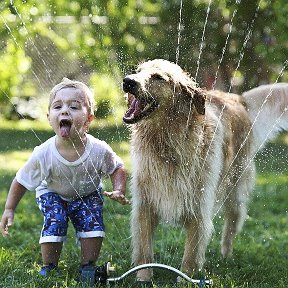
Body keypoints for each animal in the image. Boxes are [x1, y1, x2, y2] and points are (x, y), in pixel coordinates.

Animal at [122, 58, 288, 282]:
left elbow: (190, 255)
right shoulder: (145, 205)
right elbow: (144, 250)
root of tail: (237, 98)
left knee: (232, 225)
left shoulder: (198, 209)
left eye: (158, 77)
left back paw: (226, 256)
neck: (168, 143)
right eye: (138, 71)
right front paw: (143, 278)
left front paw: (184, 280)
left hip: (235, 189)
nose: (128, 81)